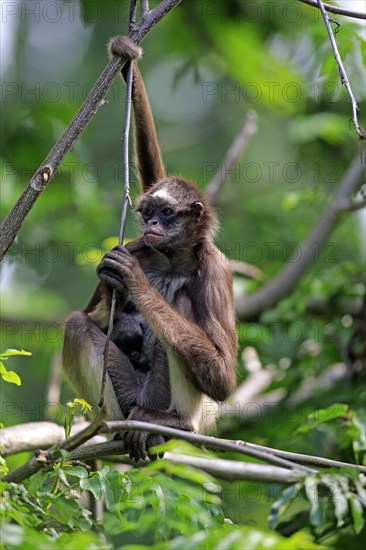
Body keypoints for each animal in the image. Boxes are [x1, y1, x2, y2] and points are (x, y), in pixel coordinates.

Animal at [63, 36, 237, 464]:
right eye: (148, 213)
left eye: (167, 213)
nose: (153, 224)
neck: (172, 261)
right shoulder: (137, 245)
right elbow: (92, 317)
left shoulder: (215, 269)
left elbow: (222, 379)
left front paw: (133, 281)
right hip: (128, 394)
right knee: (76, 325)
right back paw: (112, 425)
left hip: (164, 396)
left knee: (182, 307)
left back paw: (172, 424)